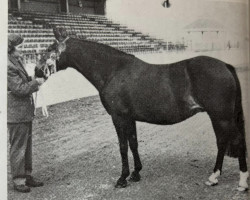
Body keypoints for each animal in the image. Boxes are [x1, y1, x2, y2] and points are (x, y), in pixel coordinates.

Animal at [36, 27, 249, 191]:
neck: (113, 71)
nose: (37, 72)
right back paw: (215, 178)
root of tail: (225, 65)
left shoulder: (118, 117)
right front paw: (136, 173)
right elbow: (133, 143)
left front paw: (122, 179)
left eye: (50, 49)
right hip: (219, 117)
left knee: (234, 141)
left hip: (221, 116)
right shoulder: (130, 118)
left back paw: (240, 182)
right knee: (222, 142)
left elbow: (122, 146)